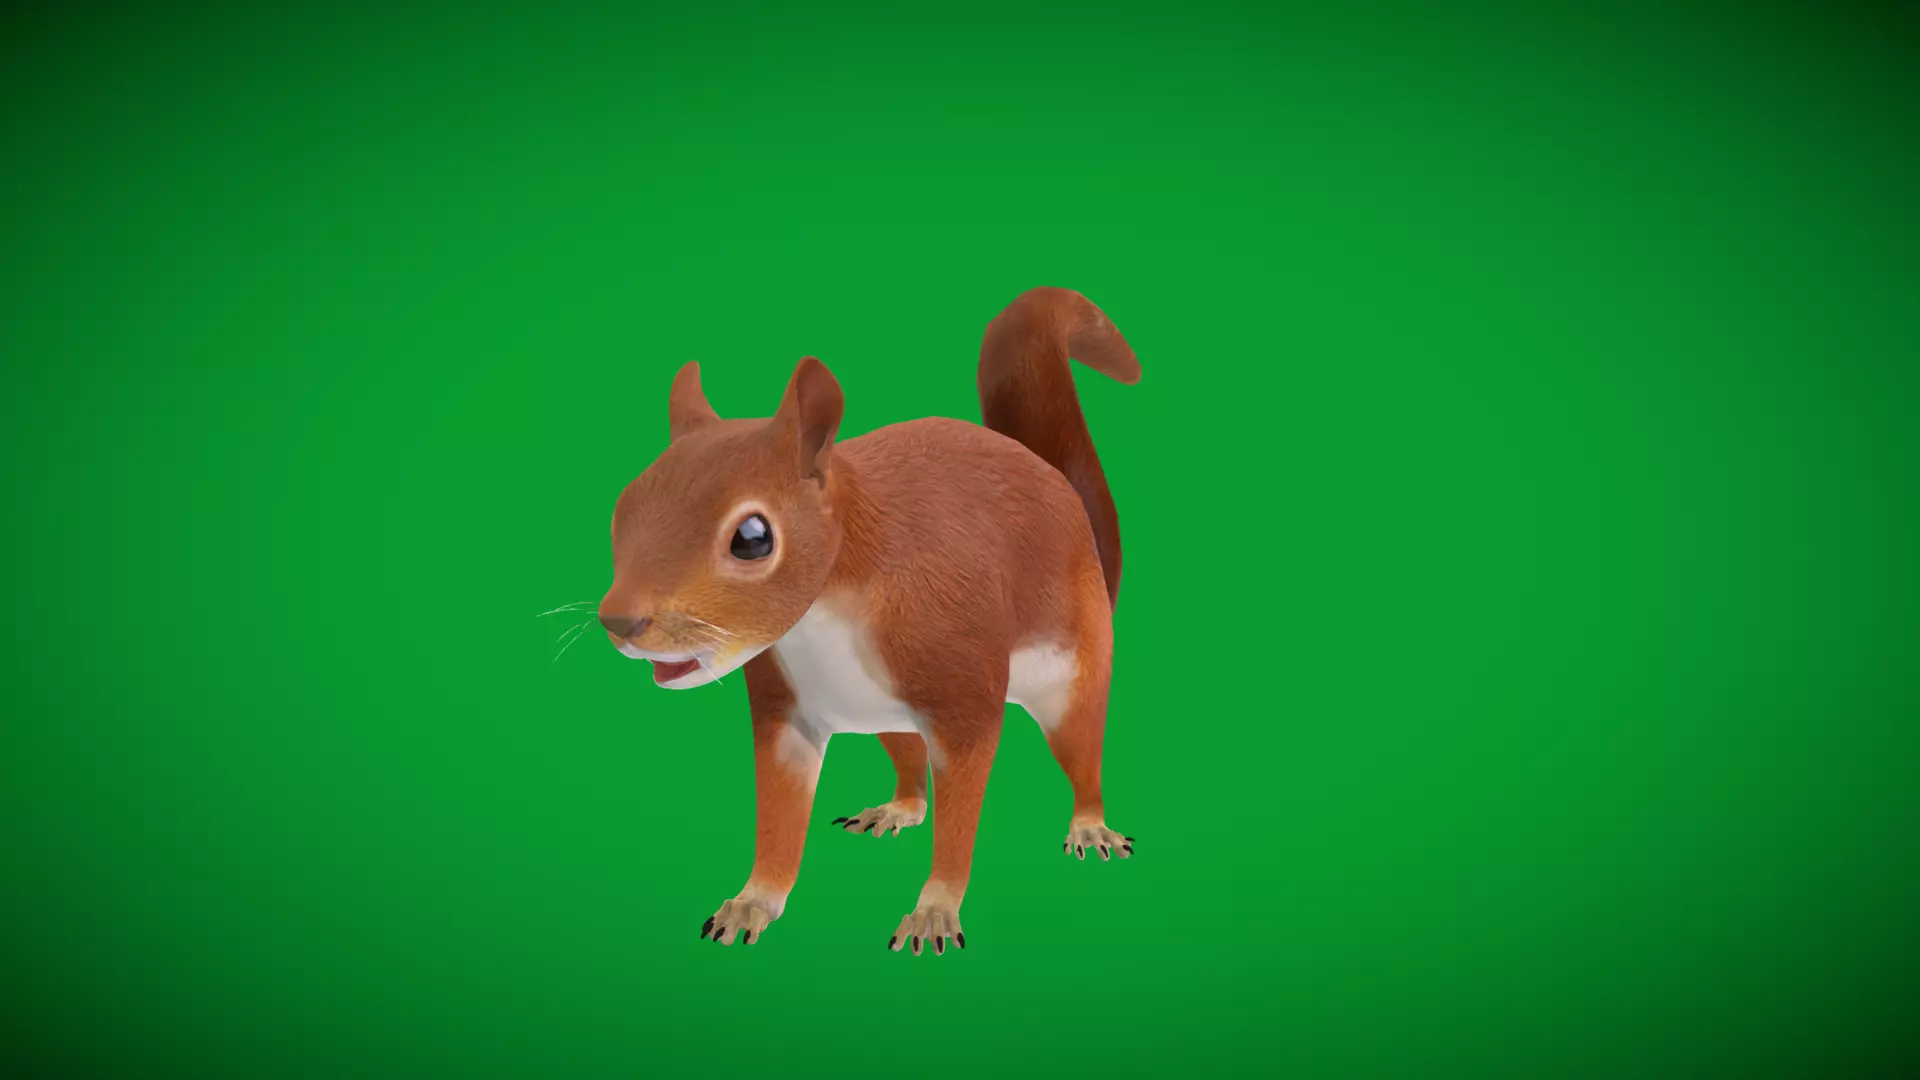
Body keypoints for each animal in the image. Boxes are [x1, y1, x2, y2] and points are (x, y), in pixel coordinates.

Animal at [598, 286, 1141, 956]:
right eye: (623, 507)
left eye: (752, 538)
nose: (618, 621)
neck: (827, 611)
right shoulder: (785, 712)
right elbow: (778, 819)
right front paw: (753, 901)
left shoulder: (964, 696)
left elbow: (961, 813)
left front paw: (935, 910)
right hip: (879, 712)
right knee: (910, 764)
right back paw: (898, 807)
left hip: (1072, 673)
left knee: (1081, 754)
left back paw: (1090, 824)